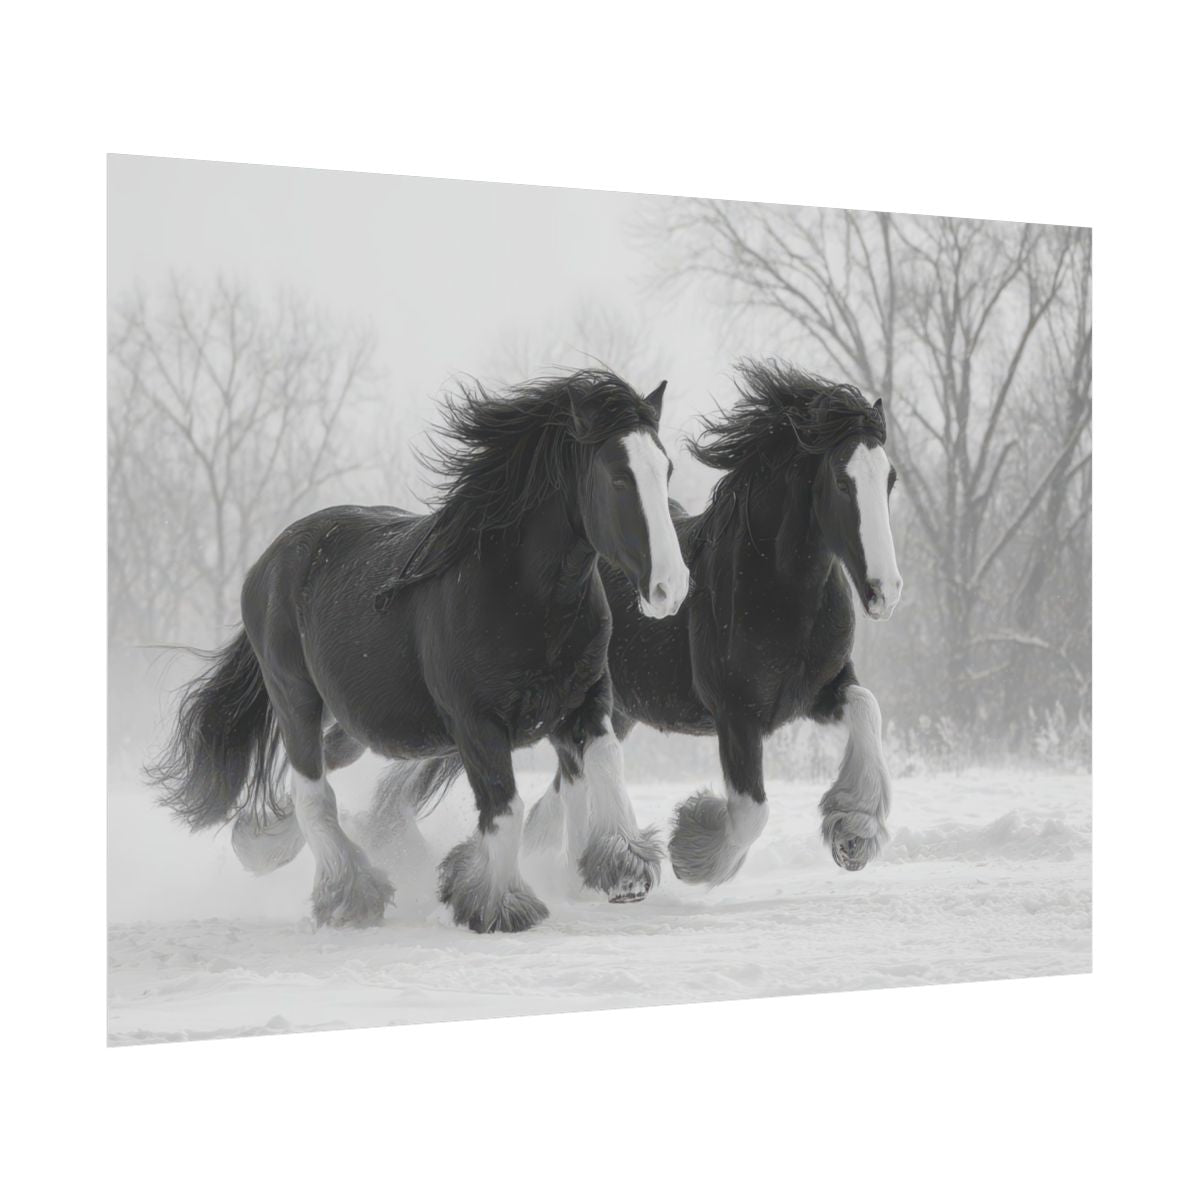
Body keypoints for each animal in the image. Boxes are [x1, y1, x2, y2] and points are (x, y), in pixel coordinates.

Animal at [147, 369, 690, 932]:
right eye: (619, 478)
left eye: (666, 469)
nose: (670, 589)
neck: (528, 599)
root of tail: (268, 561)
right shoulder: (476, 722)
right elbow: (506, 808)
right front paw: (497, 905)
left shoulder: (585, 701)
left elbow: (605, 764)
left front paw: (623, 868)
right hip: (294, 696)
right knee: (312, 792)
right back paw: (350, 894)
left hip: (358, 721)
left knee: (327, 764)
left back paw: (260, 842)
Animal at [363, 360, 901, 893]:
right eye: (843, 482)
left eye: (890, 479)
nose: (886, 591)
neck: (778, 592)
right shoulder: (737, 714)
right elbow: (751, 811)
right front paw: (692, 852)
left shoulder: (822, 689)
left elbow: (869, 708)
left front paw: (853, 835)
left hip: (610, 713)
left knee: (558, 796)